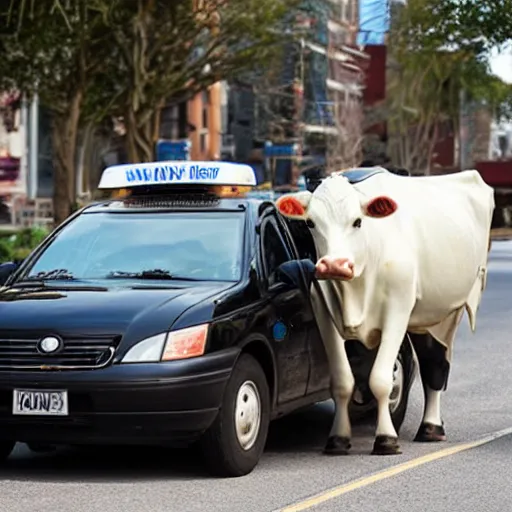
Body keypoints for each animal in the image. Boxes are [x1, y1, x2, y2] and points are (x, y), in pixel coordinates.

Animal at [276, 166, 496, 454]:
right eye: (311, 223)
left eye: (358, 222)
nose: (334, 265)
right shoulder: (323, 312)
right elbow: (342, 382)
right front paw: (338, 438)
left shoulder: (397, 311)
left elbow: (381, 380)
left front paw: (386, 438)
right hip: (425, 320)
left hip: (448, 312)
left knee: (435, 365)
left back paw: (431, 427)